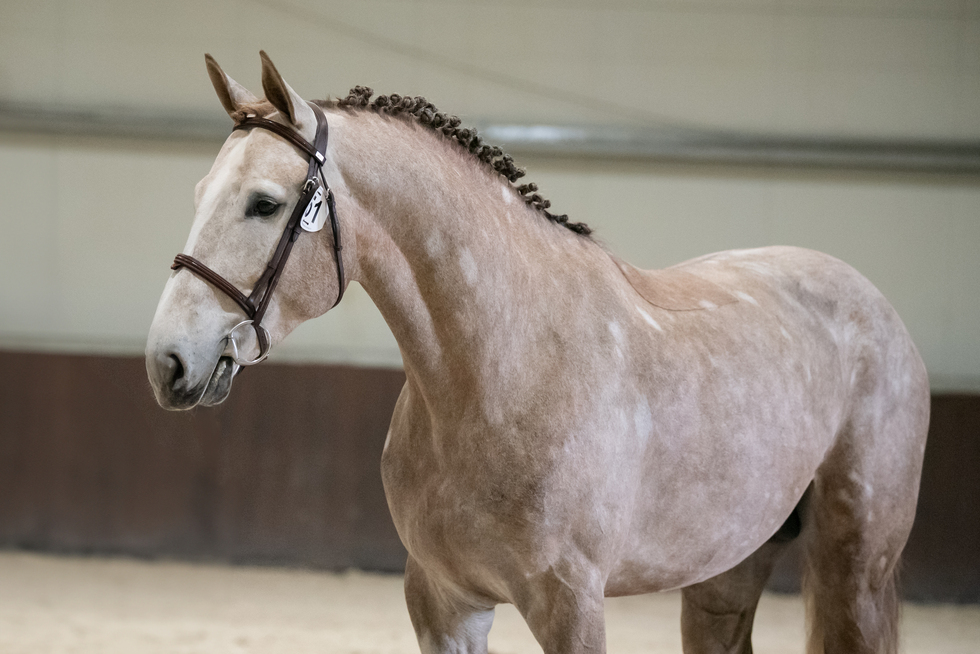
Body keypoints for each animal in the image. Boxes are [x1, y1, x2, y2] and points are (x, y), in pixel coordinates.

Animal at [146, 52, 930, 654]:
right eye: (200, 191)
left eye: (265, 203)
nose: (168, 362)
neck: (496, 373)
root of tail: (877, 308)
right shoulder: (446, 602)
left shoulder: (569, 604)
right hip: (725, 572)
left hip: (855, 569)